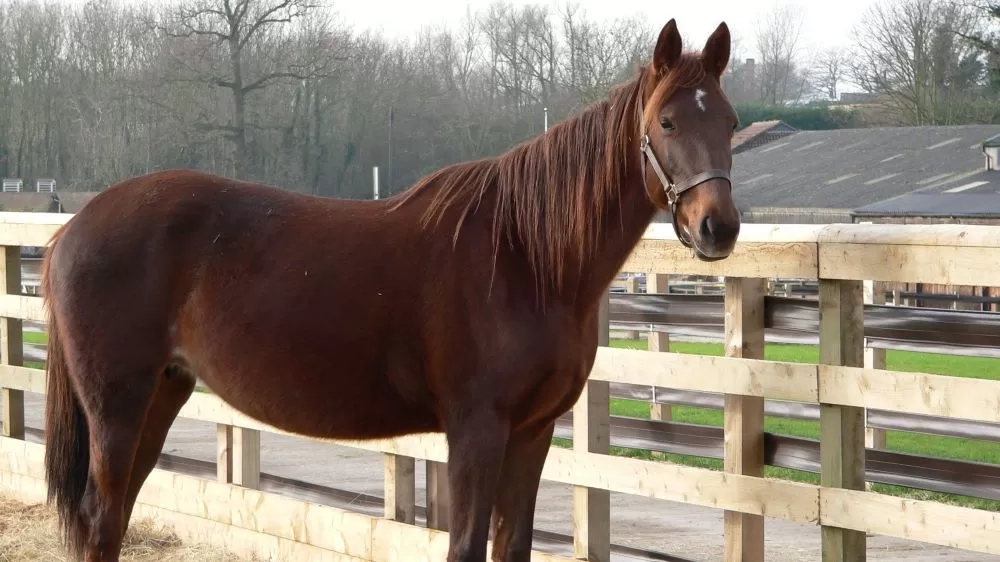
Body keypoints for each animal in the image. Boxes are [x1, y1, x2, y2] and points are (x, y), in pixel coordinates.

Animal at [41, 16, 744, 560]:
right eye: (667, 122)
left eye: (731, 122)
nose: (719, 227)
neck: (525, 256)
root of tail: (72, 228)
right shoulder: (476, 429)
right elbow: (466, 546)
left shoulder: (532, 431)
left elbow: (511, 545)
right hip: (117, 405)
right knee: (102, 521)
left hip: (162, 393)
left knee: (116, 518)